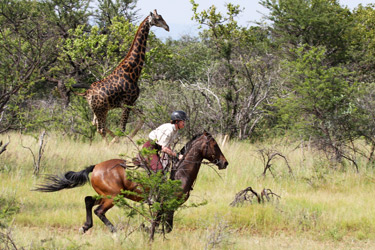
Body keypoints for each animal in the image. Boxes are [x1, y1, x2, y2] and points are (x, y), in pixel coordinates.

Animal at [34, 131, 229, 232]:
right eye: (215, 145)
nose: (224, 163)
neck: (180, 172)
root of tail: (96, 167)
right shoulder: (168, 204)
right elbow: (166, 226)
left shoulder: (165, 206)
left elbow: (163, 225)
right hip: (113, 197)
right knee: (99, 211)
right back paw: (115, 231)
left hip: (107, 194)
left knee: (88, 200)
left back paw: (86, 227)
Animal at [74, 9, 170, 139]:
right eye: (159, 18)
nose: (167, 27)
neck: (132, 72)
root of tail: (86, 93)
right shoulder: (127, 103)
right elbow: (122, 128)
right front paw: (121, 140)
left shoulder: (131, 102)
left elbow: (142, 117)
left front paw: (125, 139)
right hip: (101, 110)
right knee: (101, 129)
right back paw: (110, 141)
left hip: (99, 109)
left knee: (96, 124)